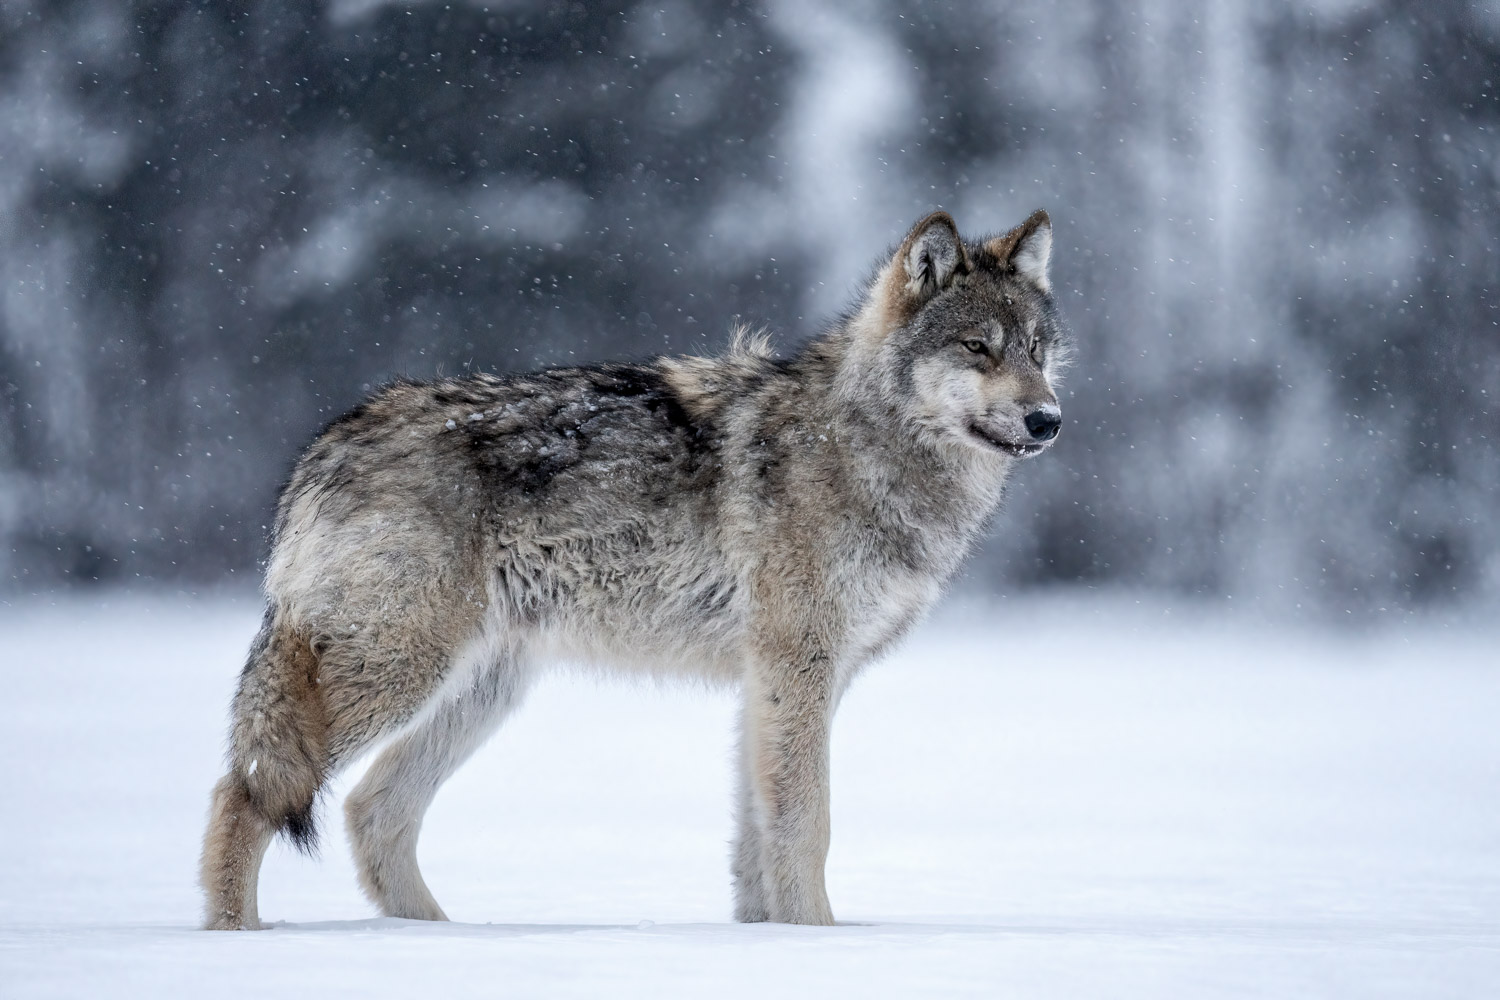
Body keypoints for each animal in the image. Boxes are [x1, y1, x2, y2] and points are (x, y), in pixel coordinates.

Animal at [199, 209, 1074, 929]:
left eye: (1037, 350)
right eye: (977, 349)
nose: (1048, 420)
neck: (863, 444)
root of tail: (326, 444)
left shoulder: (772, 681)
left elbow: (756, 839)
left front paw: (774, 940)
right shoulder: (797, 668)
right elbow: (806, 824)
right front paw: (819, 941)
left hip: (479, 692)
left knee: (371, 811)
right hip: (399, 675)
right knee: (246, 791)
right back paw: (237, 939)